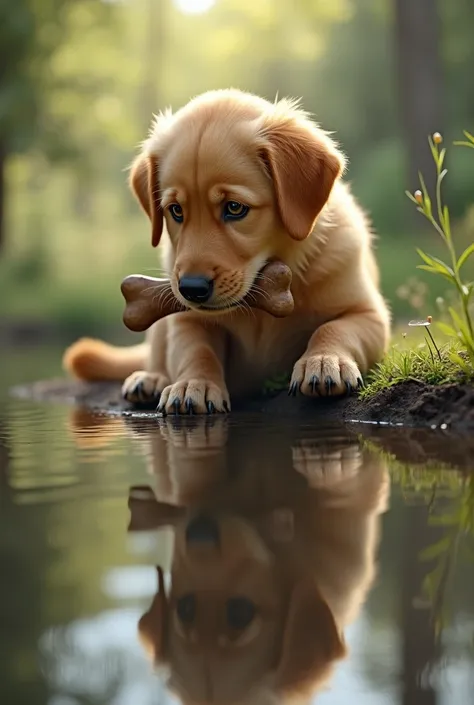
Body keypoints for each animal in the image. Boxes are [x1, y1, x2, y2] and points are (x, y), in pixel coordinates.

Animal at [62, 91, 388, 416]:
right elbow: (197, 351)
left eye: (234, 208)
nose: (191, 289)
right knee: (156, 352)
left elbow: (334, 328)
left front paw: (322, 361)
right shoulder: (187, 321)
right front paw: (193, 384)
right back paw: (150, 379)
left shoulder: (369, 314)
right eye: (176, 211)